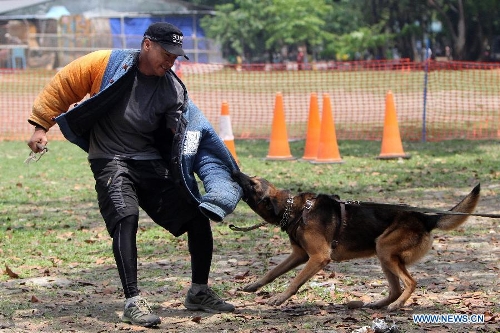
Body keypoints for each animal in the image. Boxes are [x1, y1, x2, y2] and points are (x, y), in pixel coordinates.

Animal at [231, 171, 480, 308]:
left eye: (252, 183)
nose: (233, 172)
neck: (297, 209)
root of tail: (426, 217)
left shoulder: (318, 258)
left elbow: (295, 281)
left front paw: (280, 298)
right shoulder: (299, 255)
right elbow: (273, 272)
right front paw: (253, 285)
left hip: (385, 249)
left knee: (411, 283)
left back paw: (398, 305)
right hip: (384, 255)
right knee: (395, 288)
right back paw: (379, 304)